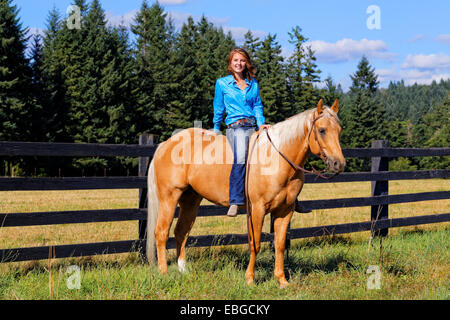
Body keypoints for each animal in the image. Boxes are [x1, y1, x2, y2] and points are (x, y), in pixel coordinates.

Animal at [147, 98, 344, 288]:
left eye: (339, 130)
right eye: (322, 130)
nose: (339, 164)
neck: (276, 158)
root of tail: (165, 144)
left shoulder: (285, 210)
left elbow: (280, 244)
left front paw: (282, 281)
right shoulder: (257, 209)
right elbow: (255, 243)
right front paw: (250, 280)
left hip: (190, 200)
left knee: (181, 231)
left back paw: (183, 271)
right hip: (169, 198)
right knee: (161, 232)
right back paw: (163, 272)